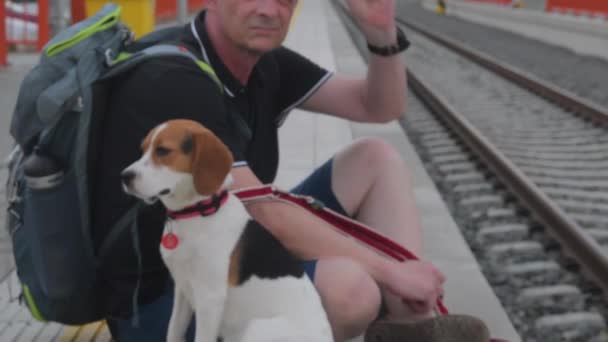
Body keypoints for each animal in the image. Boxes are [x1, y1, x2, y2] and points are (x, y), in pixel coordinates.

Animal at [120, 118, 332, 342]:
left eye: (162, 151)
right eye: (142, 150)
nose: (124, 176)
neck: (196, 213)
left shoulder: (209, 299)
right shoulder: (182, 289)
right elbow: (174, 330)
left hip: (254, 328)